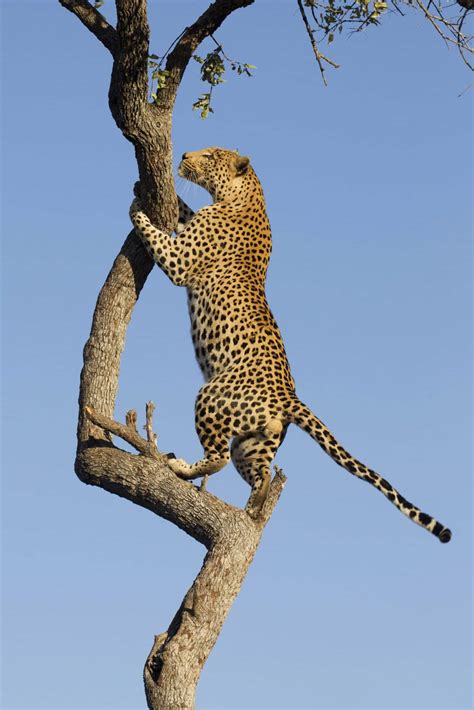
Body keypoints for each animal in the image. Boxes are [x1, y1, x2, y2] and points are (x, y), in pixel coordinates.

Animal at [129, 146, 452, 544]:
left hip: (212, 398)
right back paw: (252, 508)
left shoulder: (180, 262)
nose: (187, 154)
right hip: (253, 441)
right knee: (261, 474)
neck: (243, 195)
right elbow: (183, 212)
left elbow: (157, 236)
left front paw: (137, 208)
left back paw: (182, 468)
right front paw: (159, 195)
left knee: (219, 456)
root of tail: (289, 397)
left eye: (210, 157)